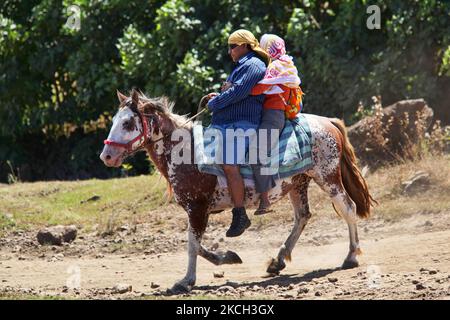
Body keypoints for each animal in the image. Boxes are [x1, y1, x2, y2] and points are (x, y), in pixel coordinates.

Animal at [101, 89, 376, 294]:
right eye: (114, 121)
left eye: (127, 122)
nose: (107, 156)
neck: (187, 152)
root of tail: (327, 121)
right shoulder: (200, 211)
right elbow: (197, 245)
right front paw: (228, 257)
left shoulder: (197, 208)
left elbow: (192, 245)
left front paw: (186, 281)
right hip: (299, 183)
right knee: (302, 217)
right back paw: (278, 261)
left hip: (328, 178)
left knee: (348, 208)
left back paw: (351, 257)